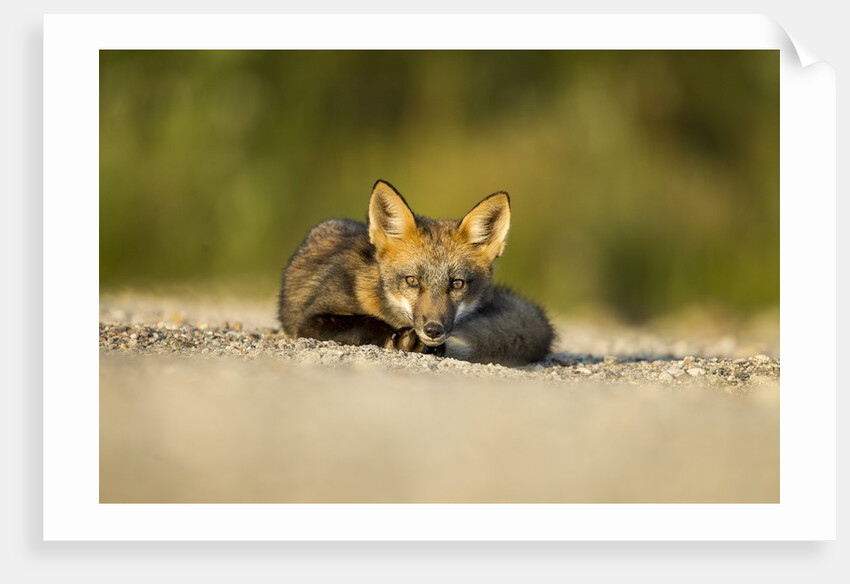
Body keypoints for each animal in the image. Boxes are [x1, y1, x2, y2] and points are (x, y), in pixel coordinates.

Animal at [277, 180, 554, 366]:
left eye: (457, 284)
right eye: (412, 281)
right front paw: (400, 338)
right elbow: (364, 322)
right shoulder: (309, 319)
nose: (433, 330)